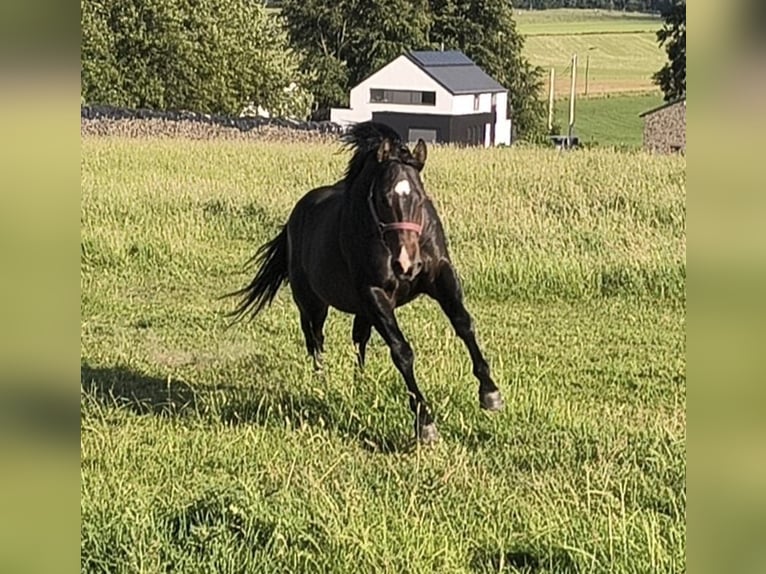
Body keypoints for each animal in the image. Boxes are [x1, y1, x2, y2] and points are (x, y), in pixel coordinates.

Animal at [227, 121, 503, 443]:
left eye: (421, 197)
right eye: (383, 199)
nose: (406, 264)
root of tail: (296, 216)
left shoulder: (440, 276)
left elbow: (464, 324)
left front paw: (490, 393)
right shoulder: (375, 294)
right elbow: (401, 351)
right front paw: (425, 423)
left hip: (361, 310)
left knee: (358, 340)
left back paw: (361, 382)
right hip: (313, 303)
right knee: (315, 339)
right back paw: (322, 381)